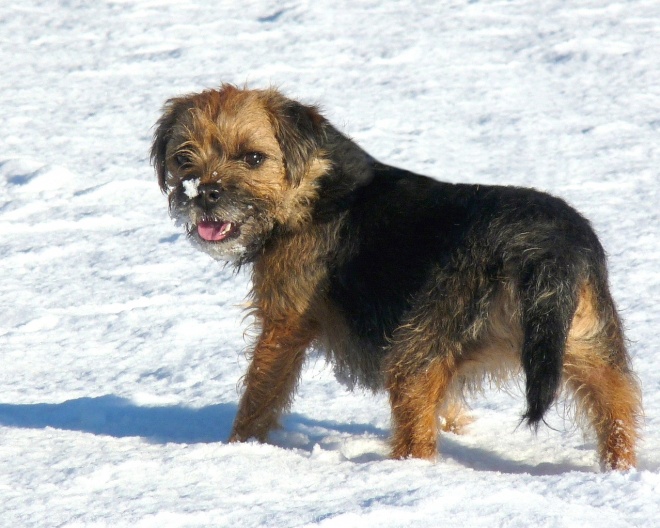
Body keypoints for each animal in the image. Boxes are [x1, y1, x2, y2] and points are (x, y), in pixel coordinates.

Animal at [152, 83, 640, 470]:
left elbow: (260, 392)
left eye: (253, 158)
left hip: (413, 351)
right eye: (183, 158)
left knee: (416, 436)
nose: (204, 194)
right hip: (590, 346)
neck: (313, 189)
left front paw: (239, 448)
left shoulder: (284, 325)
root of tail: (547, 245)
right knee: (618, 409)